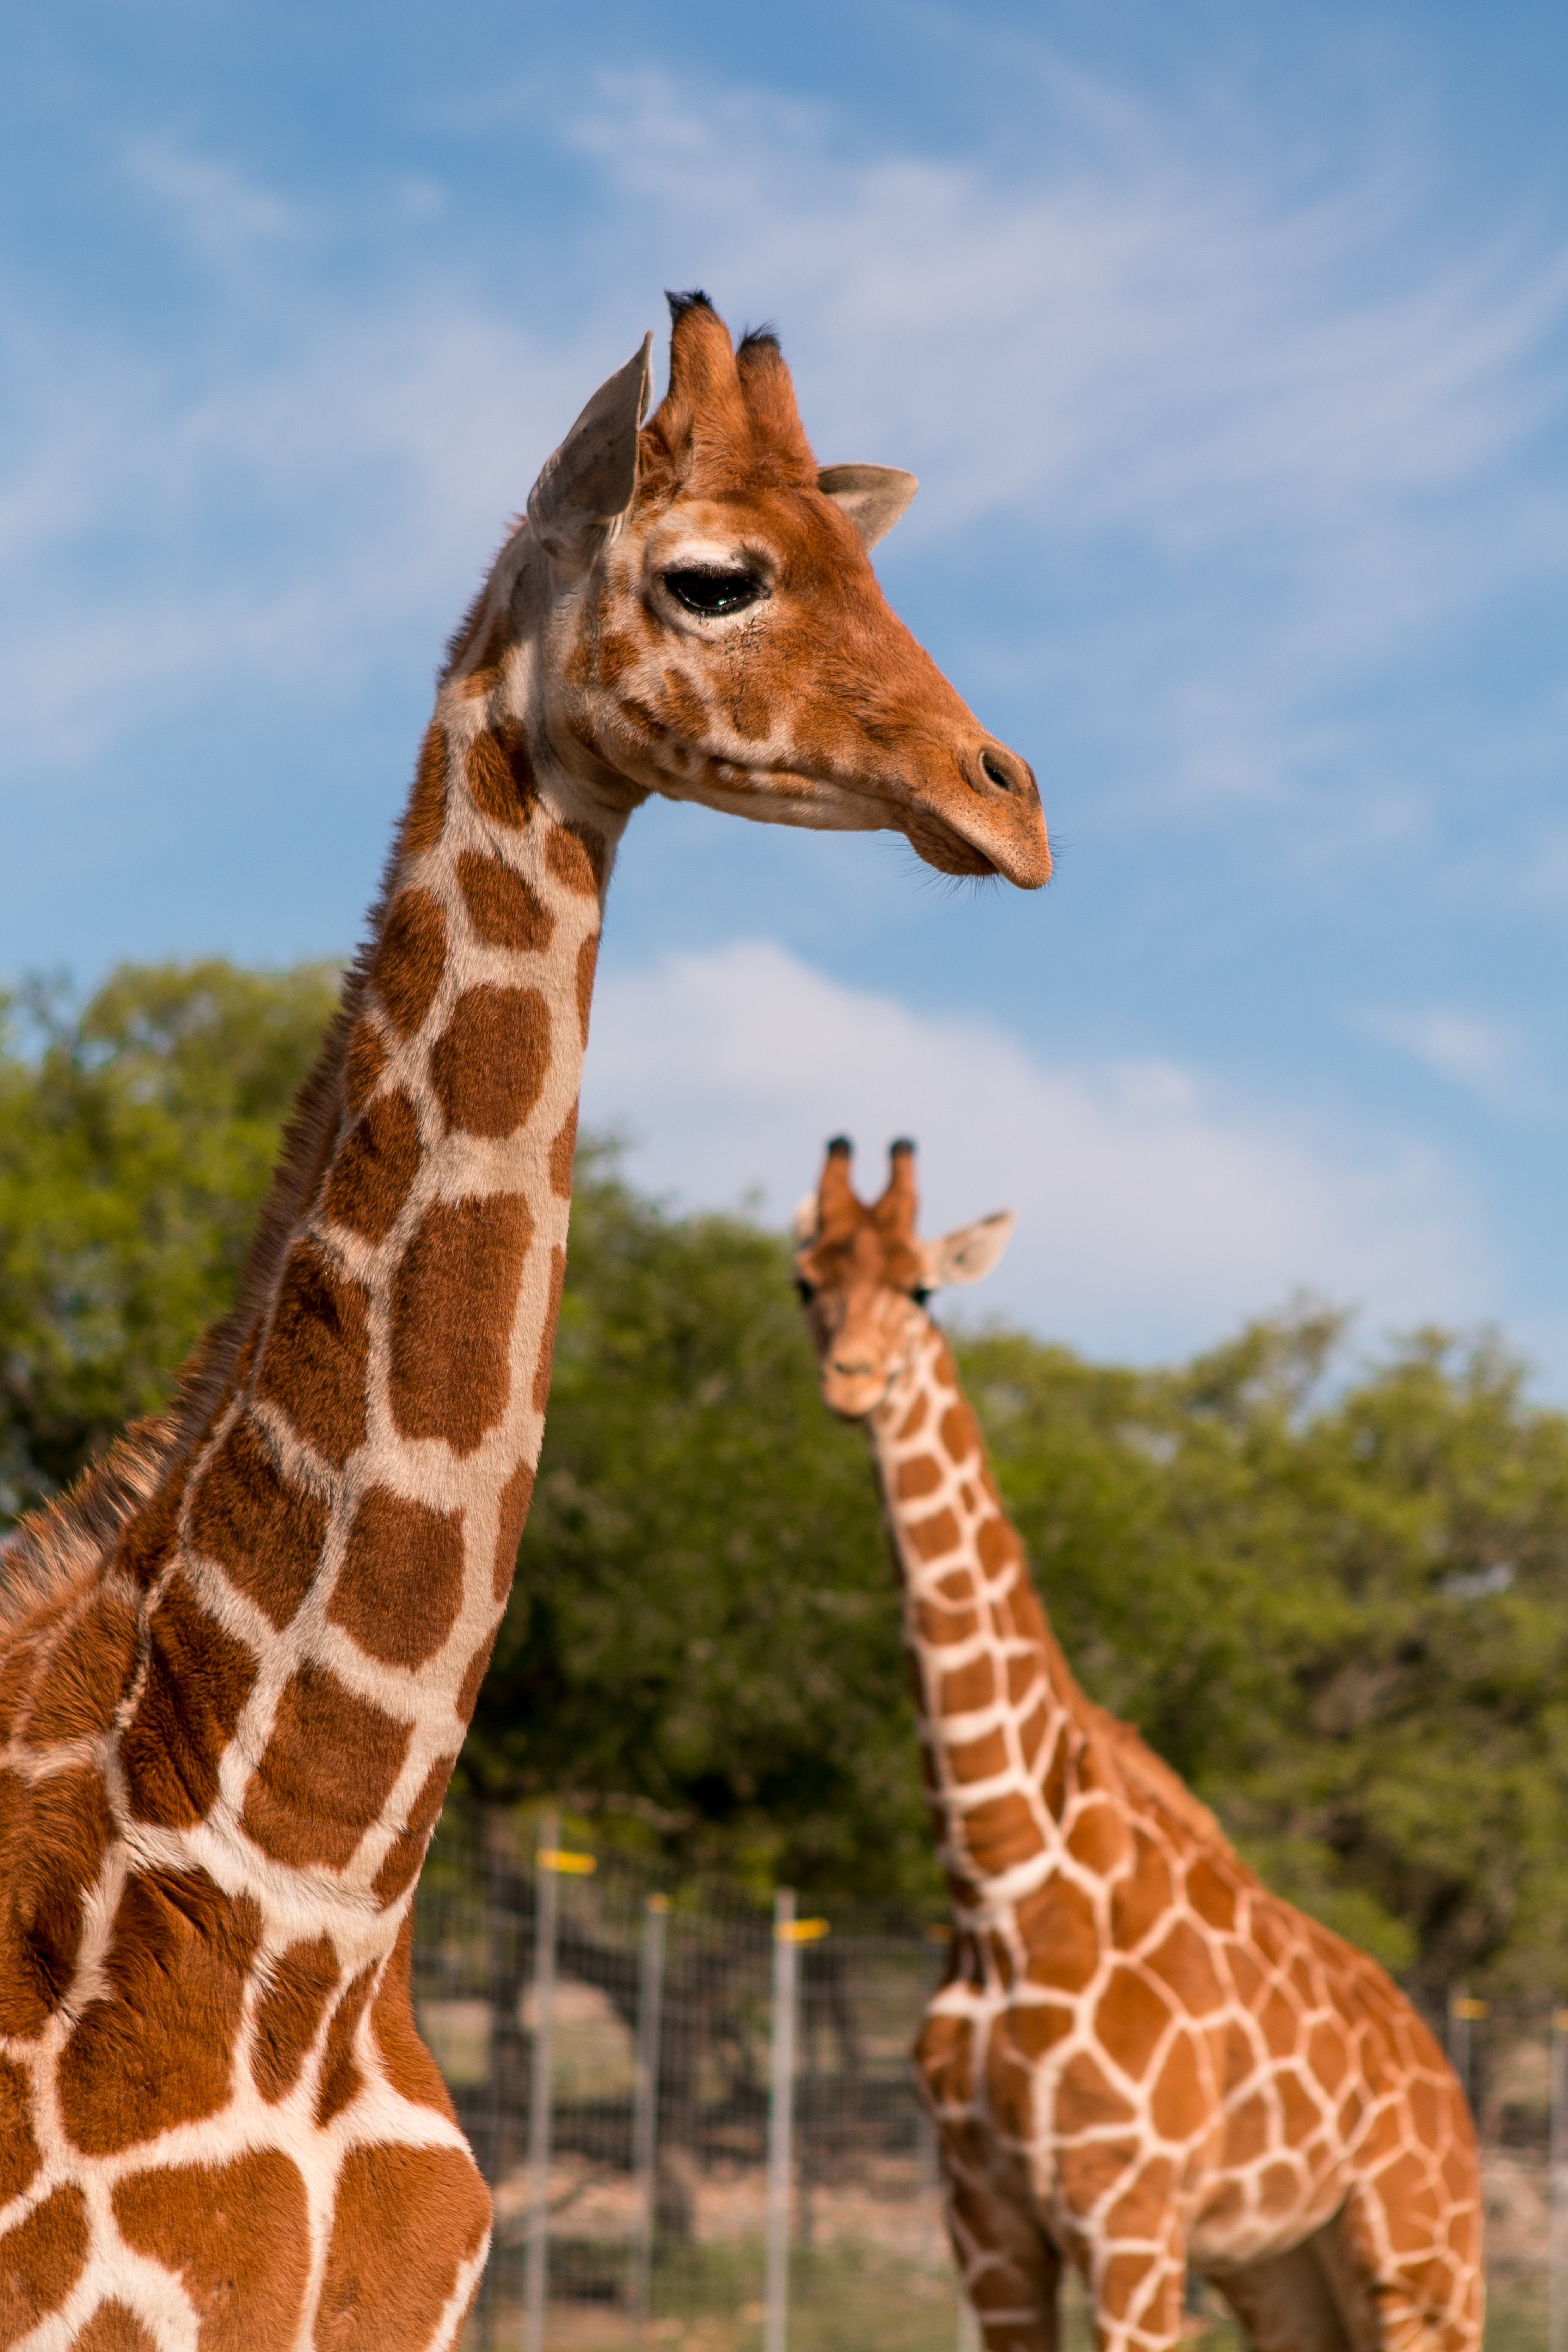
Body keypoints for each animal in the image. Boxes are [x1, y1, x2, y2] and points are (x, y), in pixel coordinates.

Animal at [799, 1128, 1485, 2342]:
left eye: (922, 1286)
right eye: (805, 1281)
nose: (851, 1379)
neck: (1000, 1881)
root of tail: (1439, 2061)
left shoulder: (1127, 2211)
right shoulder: (985, 2223)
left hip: (1421, 2260)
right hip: (1286, 2266)